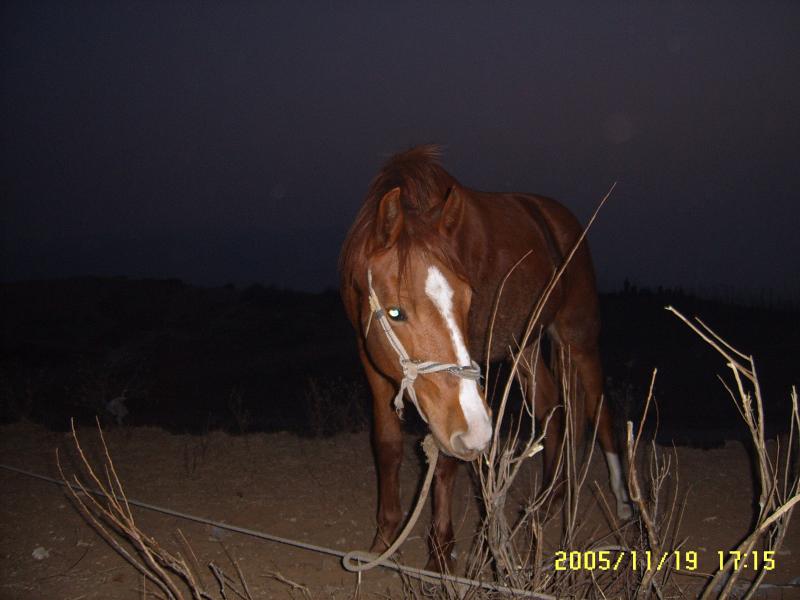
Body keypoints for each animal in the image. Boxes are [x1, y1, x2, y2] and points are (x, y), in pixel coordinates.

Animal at [338, 145, 632, 572]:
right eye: (395, 312)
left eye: (467, 299)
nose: (478, 432)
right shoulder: (373, 363)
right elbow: (388, 446)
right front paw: (384, 541)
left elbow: (445, 461)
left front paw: (440, 554)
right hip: (524, 348)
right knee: (552, 409)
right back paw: (548, 502)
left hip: (578, 339)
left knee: (600, 411)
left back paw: (624, 502)